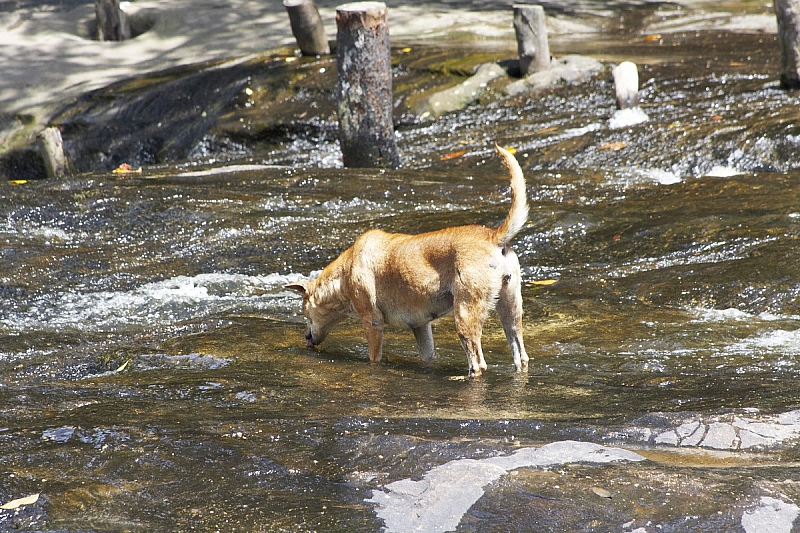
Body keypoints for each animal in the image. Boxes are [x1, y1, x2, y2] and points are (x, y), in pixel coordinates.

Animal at [284, 141, 528, 374]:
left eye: (305, 313)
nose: (306, 337)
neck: (343, 277)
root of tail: (494, 237)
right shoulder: (420, 325)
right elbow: (427, 355)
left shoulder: (372, 321)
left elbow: (374, 358)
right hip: (511, 307)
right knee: (520, 356)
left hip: (466, 312)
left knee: (477, 363)